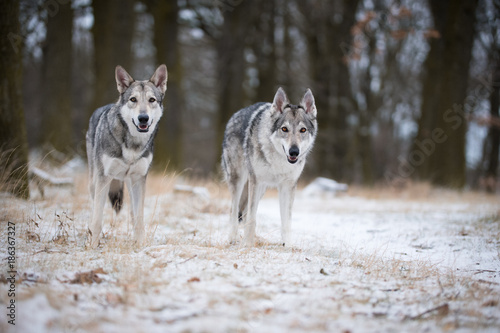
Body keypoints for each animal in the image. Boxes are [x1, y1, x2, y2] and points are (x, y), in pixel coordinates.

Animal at [87, 65, 169, 248]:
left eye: (152, 100)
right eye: (133, 99)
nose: (143, 118)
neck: (133, 144)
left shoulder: (140, 179)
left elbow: (139, 219)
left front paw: (140, 245)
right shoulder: (104, 178)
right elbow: (97, 219)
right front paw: (92, 246)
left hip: (131, 185)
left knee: (133, 212)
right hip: (96, 181)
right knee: (94, 207)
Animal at [222, 87, 316, 245]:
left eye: (303, 130)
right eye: (284, 129)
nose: (294, 151)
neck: (279, 161)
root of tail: (235, 114)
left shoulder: (287, 187)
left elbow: (286, 222)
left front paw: (288, 246)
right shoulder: (255, 181)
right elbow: (252, 218)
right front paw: (247, 244)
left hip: (261, 189)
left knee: (245, 213)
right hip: (240, 181)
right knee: (233, 211)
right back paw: (232, 238)